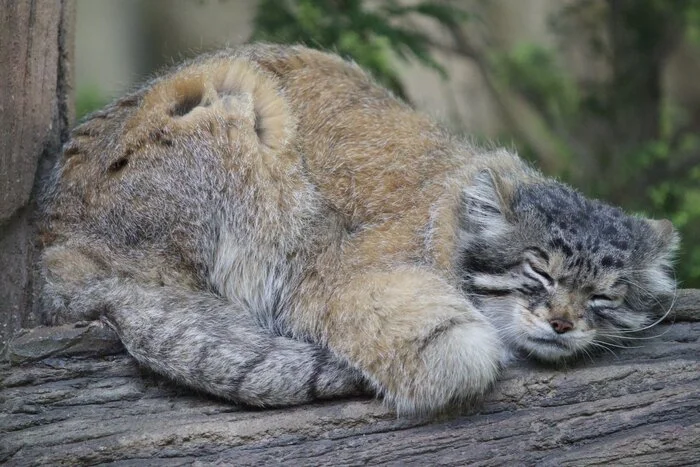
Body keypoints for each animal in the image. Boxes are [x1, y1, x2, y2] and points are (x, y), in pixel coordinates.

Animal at [39, 44, 680, 416]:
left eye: (603, 297)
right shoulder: (324, 279)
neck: (451, 216)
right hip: (236, 106)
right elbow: (454, 353)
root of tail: (55, 243)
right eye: (538, 272)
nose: (563, 324)